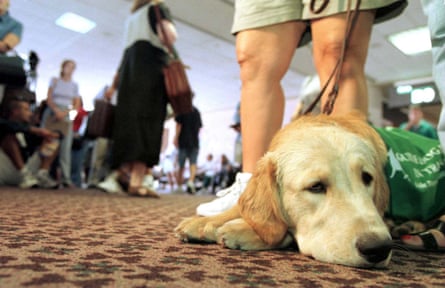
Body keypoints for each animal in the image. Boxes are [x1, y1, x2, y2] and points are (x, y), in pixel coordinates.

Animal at [175, 112, 390, 268]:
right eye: (316, 186)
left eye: (367, 178)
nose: (379, 248)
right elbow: (241, 209)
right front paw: (204, 223)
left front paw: (241, 229)